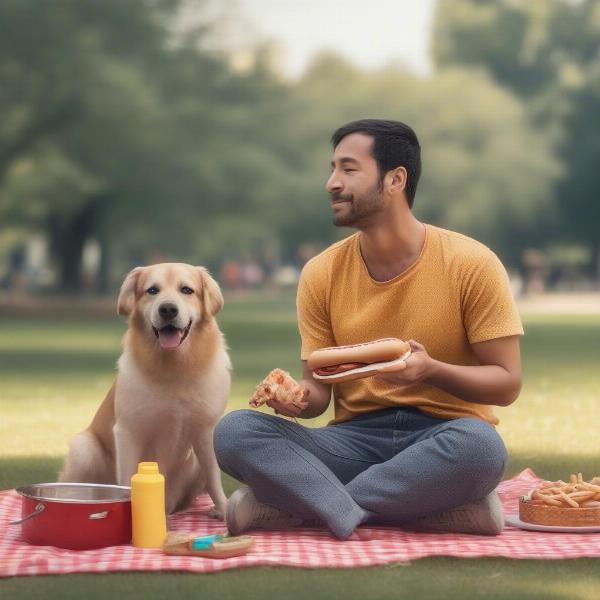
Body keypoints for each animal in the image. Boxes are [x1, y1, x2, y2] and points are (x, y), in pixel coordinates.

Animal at [59, 260, 230, 516]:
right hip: (84, 449)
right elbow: (127, 477)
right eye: (152, 290)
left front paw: (224, 510)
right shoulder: (128, 431)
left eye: (187, 290)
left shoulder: (206, 431)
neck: (174, 367)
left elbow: (213, 477)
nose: (168, 309)